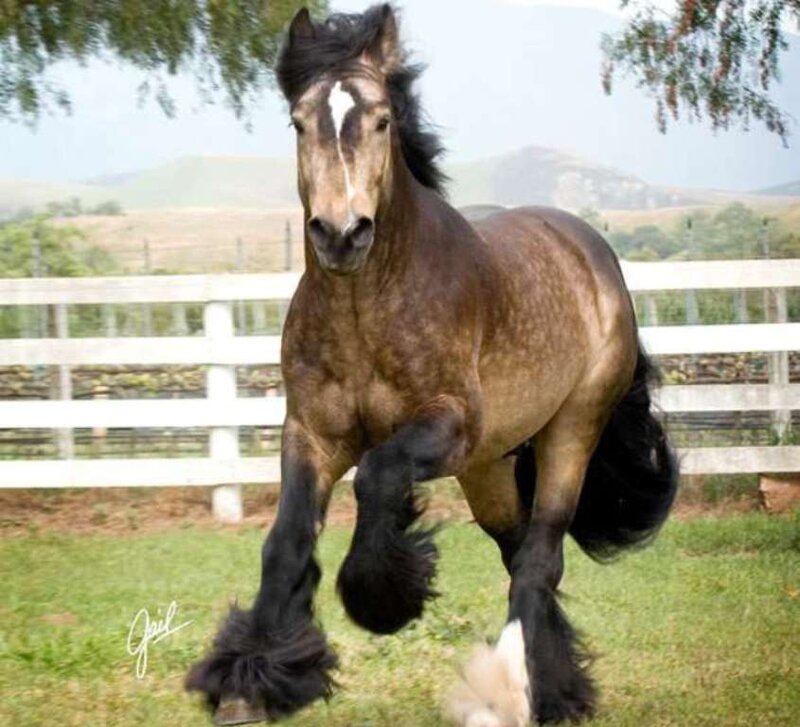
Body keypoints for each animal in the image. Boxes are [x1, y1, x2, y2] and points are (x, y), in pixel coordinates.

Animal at [186, 5, 678, 725]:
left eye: (382, 120)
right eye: (299, 122)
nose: (341, 234)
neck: (366, 306)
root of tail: (593, 254)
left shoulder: (446, 426)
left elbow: (377, 477)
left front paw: (380, 598)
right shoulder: (312, 433)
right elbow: (285, 541)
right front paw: (250, 679)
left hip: (569, 433)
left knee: (540, 559)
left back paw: (508, 693)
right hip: (491, 468)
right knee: (520, 553)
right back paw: (556, 688)